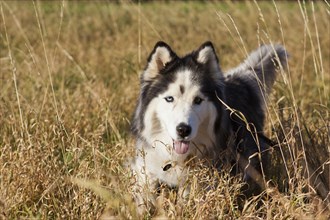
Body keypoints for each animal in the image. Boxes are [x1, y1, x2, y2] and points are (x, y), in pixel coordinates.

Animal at [130, 41, 288, 211]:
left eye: (198, 100)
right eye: (169, 98)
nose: (183, 130)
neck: (176, 158)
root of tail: (240, 82)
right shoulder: (145, 168)